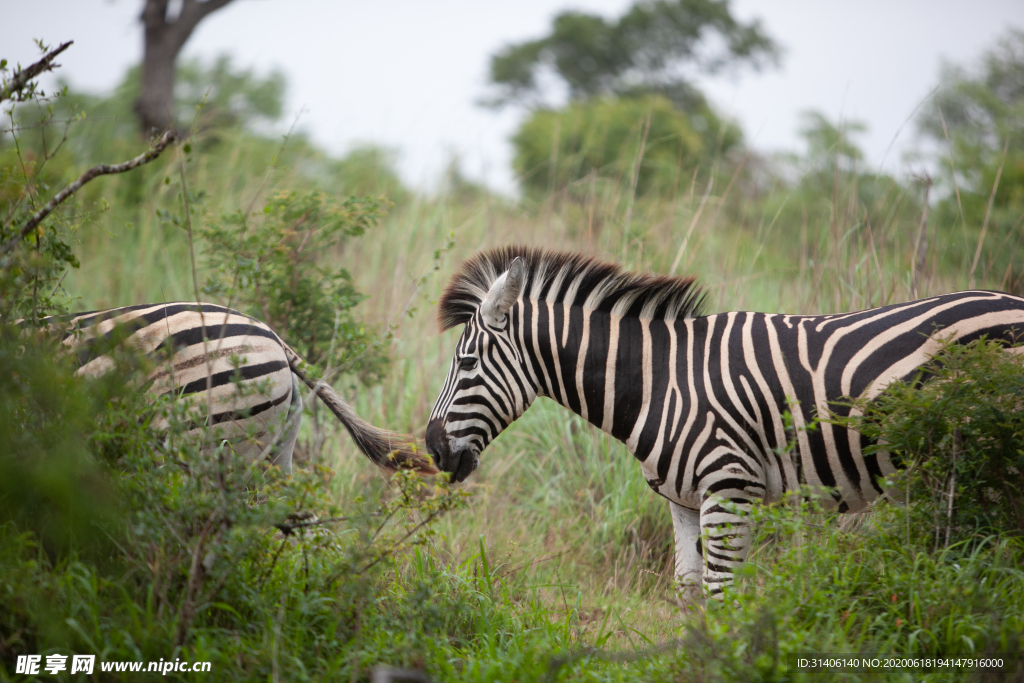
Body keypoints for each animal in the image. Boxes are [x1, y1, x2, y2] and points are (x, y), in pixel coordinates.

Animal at [421, 248, 1024, 593]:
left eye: (466, 363)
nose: (431, 449)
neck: (661, 381)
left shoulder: (730, 488)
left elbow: (722, 592)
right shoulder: (684, 501)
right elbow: (689, 592)